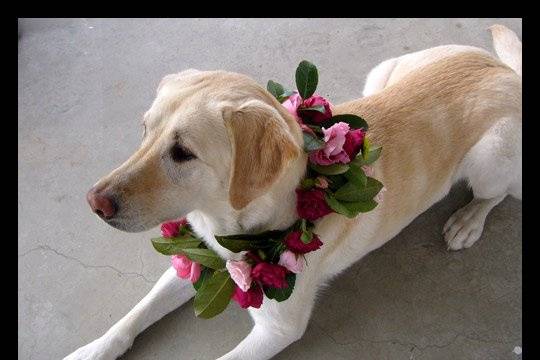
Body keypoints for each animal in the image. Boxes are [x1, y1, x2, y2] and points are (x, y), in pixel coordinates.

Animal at [65, 23, 520, 358]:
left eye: (182, 153)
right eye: (145, 130)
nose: (94, 202)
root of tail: (506, 71)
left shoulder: (277, 329)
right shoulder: (198, 253)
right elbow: (133, 316)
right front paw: (92, 349)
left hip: (489, 159)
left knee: (499, 194)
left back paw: (468, 221)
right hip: (382, 72)